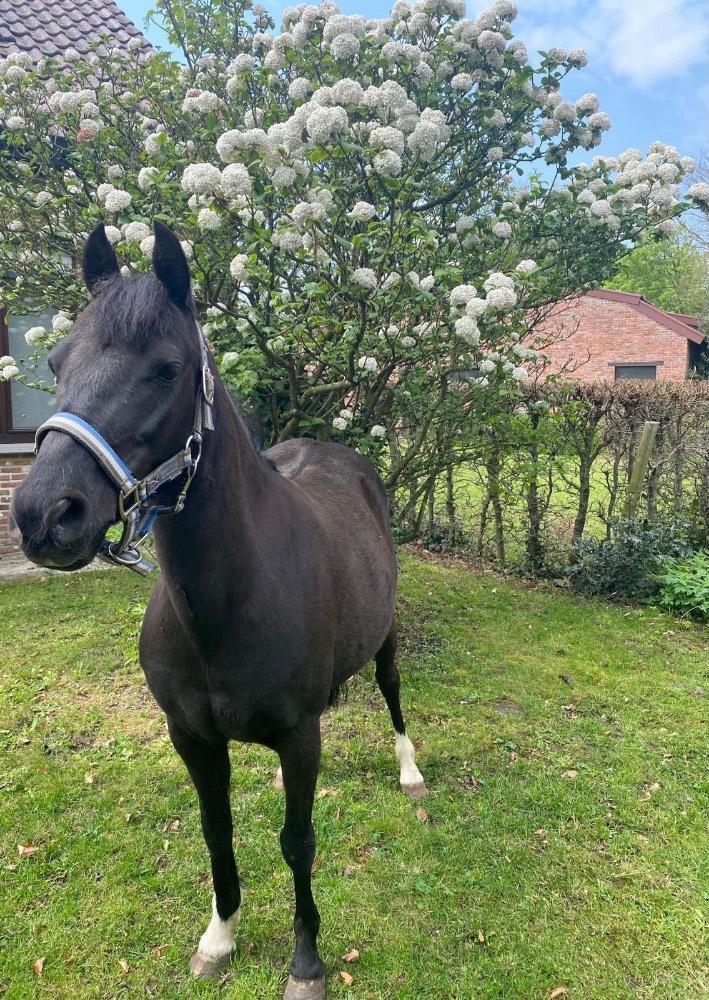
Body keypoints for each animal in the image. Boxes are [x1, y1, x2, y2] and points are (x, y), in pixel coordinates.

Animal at [10, 222, 427, 999]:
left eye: (167, 368)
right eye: (54, 360)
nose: (45, 516)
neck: (226, 606)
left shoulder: (297, 735)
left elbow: (298, 842)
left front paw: (306, 962)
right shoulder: (192, 739)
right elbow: (216, 831)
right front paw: (219, 937)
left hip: (385, 636)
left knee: (390, 691)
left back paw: (410, 771)